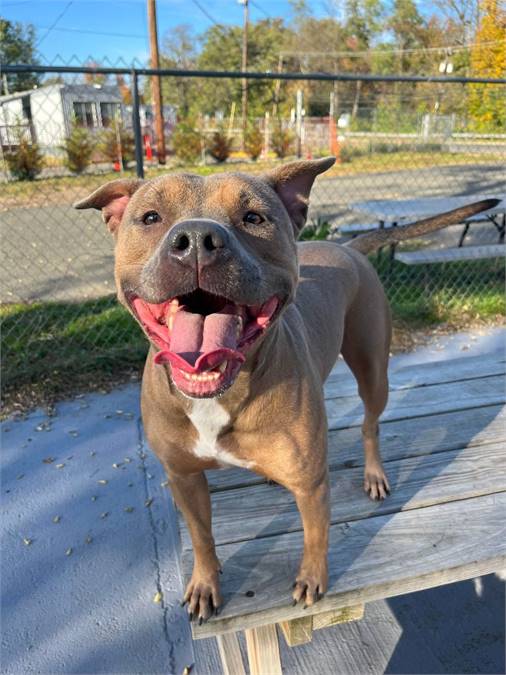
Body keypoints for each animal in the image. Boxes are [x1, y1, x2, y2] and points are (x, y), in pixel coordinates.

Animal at [74, 162, 494, 624]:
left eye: (253, 217)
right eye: (150, 217)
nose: (197, 240)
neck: (220, 394)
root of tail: (347, 246)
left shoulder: (312, 485)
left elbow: (315, 535)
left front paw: (312, 580)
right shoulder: (184, 478)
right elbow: (202, 536)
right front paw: (205, 583)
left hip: (372, 370)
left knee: (370, 424)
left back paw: (374, 473)